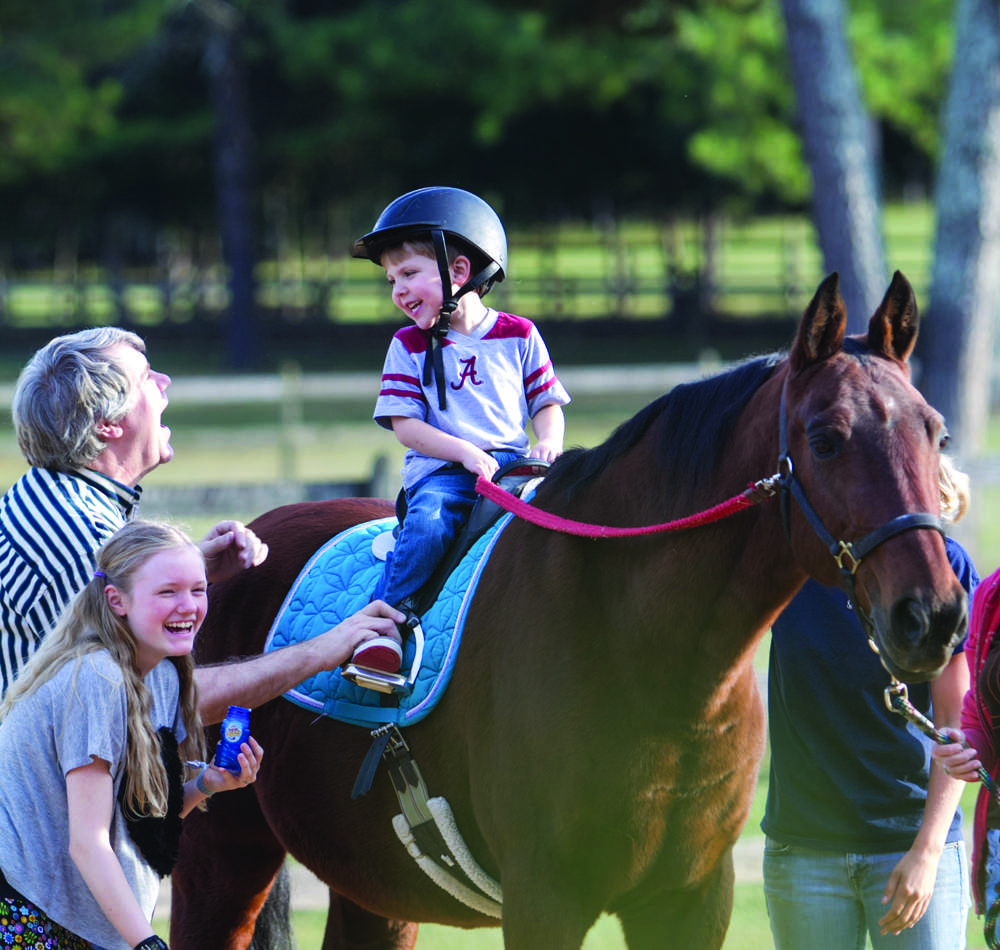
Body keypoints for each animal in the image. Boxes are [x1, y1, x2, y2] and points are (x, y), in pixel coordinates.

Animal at [172, 272, 968, 948]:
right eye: (827, 440)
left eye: (936, 432)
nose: (933, 616)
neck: (643, 657)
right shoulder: (545, 900)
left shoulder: (689, 901)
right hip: (220, 857)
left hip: (372, 890)